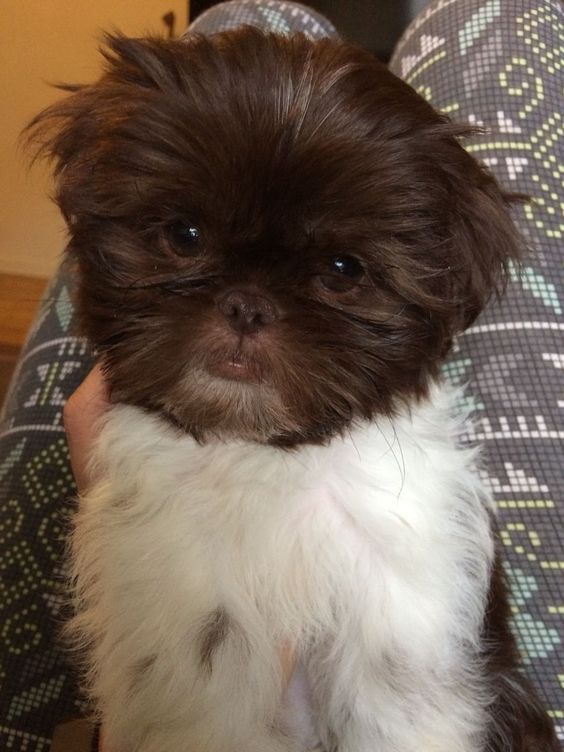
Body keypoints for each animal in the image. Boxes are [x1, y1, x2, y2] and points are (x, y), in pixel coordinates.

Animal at [29, 27, 560, 752]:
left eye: (344, 270)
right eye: (184, 235)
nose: (247, 305)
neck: (267, 454)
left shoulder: (403, 607)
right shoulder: (185, 608)